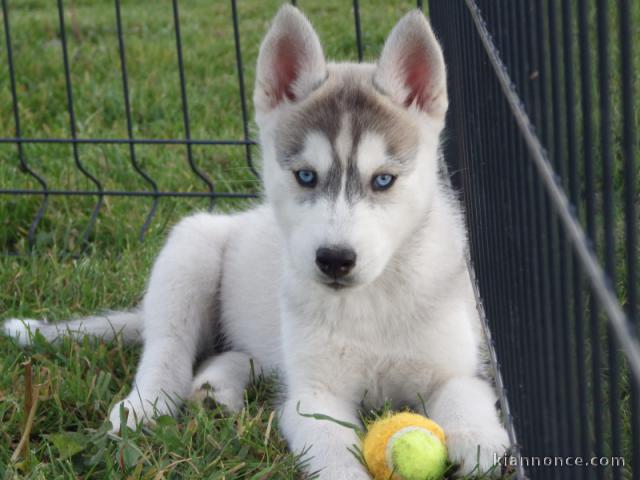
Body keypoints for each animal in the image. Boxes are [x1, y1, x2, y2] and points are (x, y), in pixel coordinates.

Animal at [2, 5, 508, 478]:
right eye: (306, 176)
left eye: (383, 180)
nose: (335, 260)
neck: (372, 302)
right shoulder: (313, 397)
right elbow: (334, 456)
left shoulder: (455, 369)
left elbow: (466, 397)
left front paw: (481, 442)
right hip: (189, 250)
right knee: (166, 349)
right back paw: (145, 405)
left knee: (238, 353)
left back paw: (215, 390)